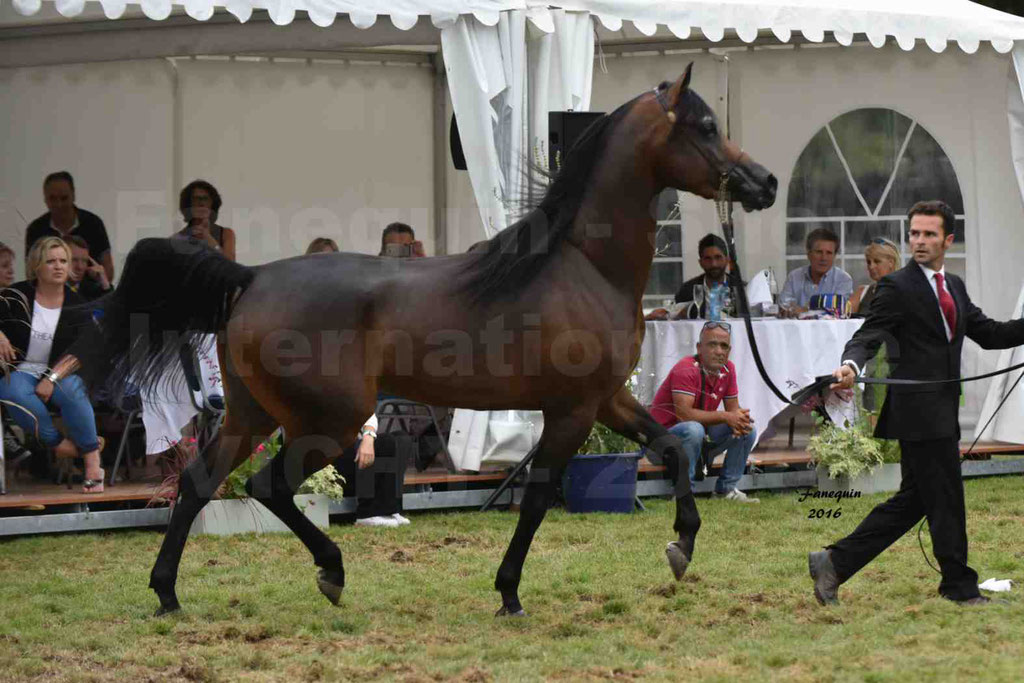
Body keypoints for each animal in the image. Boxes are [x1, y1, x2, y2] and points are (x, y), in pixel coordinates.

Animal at [90, 65, 774, 618]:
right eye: (706, 126)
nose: (763, 182)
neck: (582, 263)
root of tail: (252, 278)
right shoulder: (572, 411)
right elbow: (538, 499)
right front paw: (508, 593)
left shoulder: (608, 400)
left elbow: (676, 450)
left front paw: (681, 544)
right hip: (329, 421)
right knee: (268, 487)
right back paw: (331, 572)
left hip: (252, 414)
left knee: (198, 483)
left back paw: (168, 593)